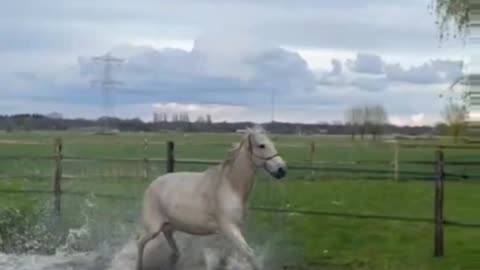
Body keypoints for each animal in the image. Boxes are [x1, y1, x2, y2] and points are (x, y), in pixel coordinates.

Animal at [136, 126, 284, 270]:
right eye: (262, 145)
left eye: (272, 143)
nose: (282, 169)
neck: (230, 186)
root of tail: (152, 185)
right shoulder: (230, 228)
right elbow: (250, 256)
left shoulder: (234, 230)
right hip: (153, 228)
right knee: (140, 243)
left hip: (169, 226)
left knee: (172, 245)